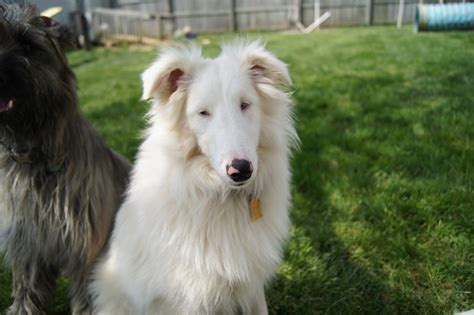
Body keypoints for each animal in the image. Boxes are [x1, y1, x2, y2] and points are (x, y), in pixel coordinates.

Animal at [90, 42, 298, 315]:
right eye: (203, 113)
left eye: (245, 104)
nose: (241, 169)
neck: (218, 194)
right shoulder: (189, 297)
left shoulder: (252, 285)